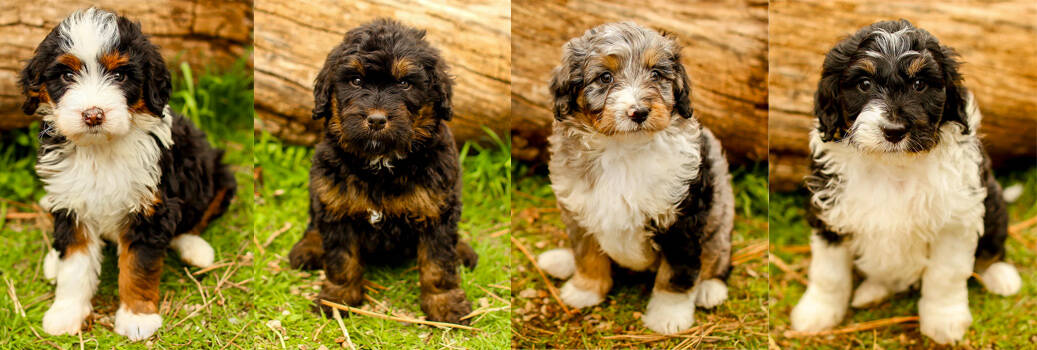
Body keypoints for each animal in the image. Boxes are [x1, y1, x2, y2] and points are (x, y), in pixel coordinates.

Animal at [20, 8, 237, 339]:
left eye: (120, 76)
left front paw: (137, 318)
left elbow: (138, 266)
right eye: (67, 75)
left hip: (216, 171)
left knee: (196, 217)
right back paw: (53, 262)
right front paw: (66, 313)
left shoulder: (150, 208)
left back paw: (196, 249)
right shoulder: (72, 204)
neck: (100, 150)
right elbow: (75, 265)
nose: (93, 115)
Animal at [284, 18, 477, 325]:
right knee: (314, 221)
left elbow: (438, 264)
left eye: (405, 83)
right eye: (356, 80)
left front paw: (445, 305)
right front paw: (338, 298)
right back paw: (309, 247)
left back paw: (463, 250)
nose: (376, 120)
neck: (381, 164)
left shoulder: (438, 211)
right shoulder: (337, 208)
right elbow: (342, 260)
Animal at [535, 21, 738, 333]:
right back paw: (560, 260)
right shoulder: (579, 209)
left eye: (656, 74)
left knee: (718, 258)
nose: (639, 112)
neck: (623, 148)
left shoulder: (682, 219)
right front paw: (585, 290)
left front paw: (669, 316)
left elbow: (676, 272)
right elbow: (586, 253)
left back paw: (709, 289)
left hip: (720, 222)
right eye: (605, 77)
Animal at [792, 19, 1020, 343]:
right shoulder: (829, 212)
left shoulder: (956, 219)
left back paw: (1000, 275)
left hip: (993, 202)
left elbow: (946, 274)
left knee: (992, 248)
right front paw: (817, 312)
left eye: (919, 84)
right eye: (864, 84)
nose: (894, 130)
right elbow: (828, 273)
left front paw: (944, 320)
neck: (893, 165)